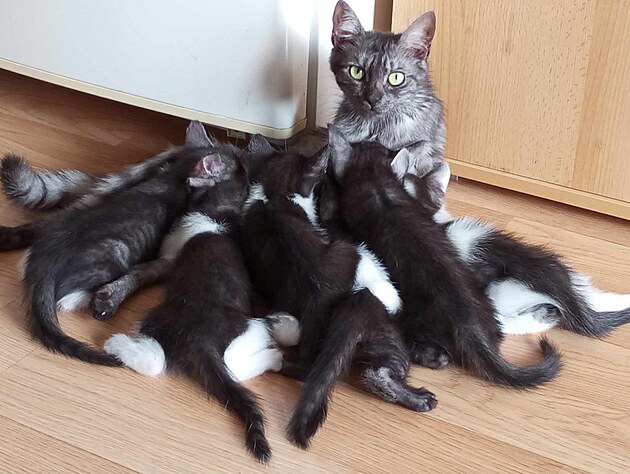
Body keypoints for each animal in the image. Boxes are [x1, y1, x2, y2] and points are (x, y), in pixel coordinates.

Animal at [104, 166, 300, 463]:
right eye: (242, 178)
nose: (248, 173)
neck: (218, 212)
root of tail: (199, 339)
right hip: (233, 326)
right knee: (229, 362)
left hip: (168, 320)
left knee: (167, 359)